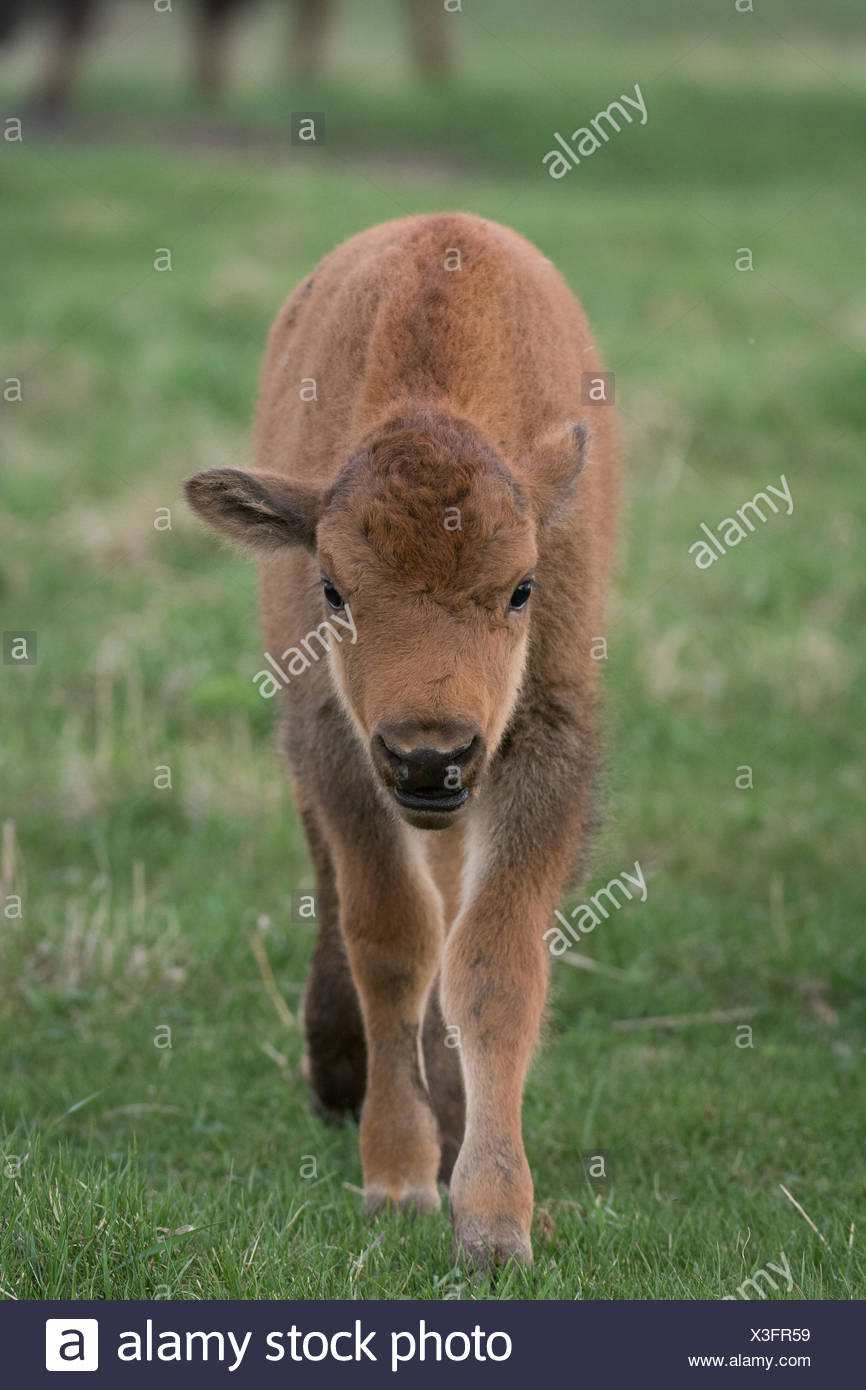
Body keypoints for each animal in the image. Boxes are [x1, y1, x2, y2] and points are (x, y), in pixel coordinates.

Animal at [185, 212, 620, 1268]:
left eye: (522, 587)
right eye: (334, 589)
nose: (429, 755)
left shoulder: (540, 742)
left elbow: (494, 962)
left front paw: (495, 1221)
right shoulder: (339, 745)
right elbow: (390, 938)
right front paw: (397, 1182)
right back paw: (343, 1075)